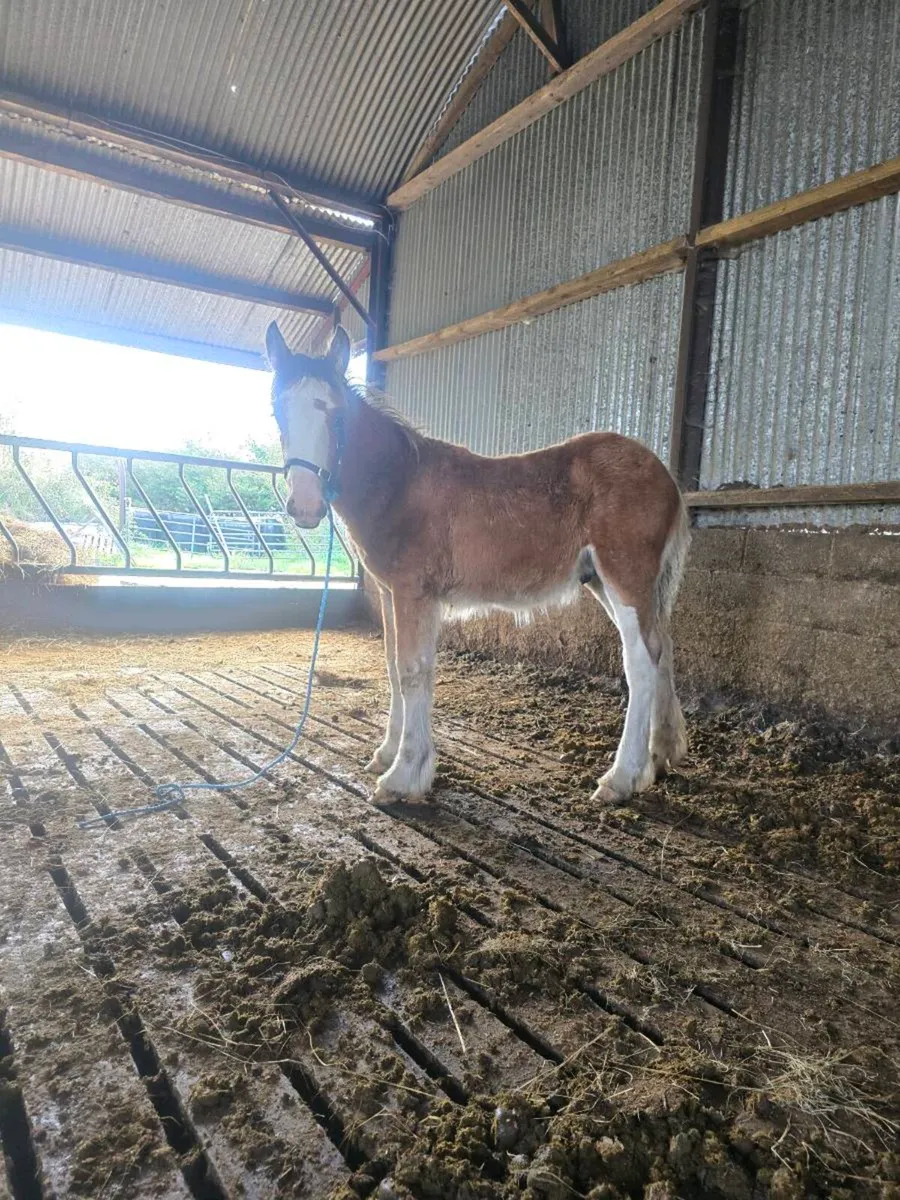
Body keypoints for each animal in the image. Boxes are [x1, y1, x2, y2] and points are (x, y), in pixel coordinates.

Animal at [266, 322, 690, 806]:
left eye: (335, 415)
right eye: (277, 412)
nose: (305, 507)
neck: (399, 484)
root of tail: (666, 476)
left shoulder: (416, 592)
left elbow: (413, 671)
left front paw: (403, 774)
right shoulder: (391, 593)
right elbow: (392, 665)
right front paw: (386, 753)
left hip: (624, 575)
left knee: (641, 661)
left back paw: (621, 777)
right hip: (608, 582)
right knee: (662, 647)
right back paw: (661, 754)